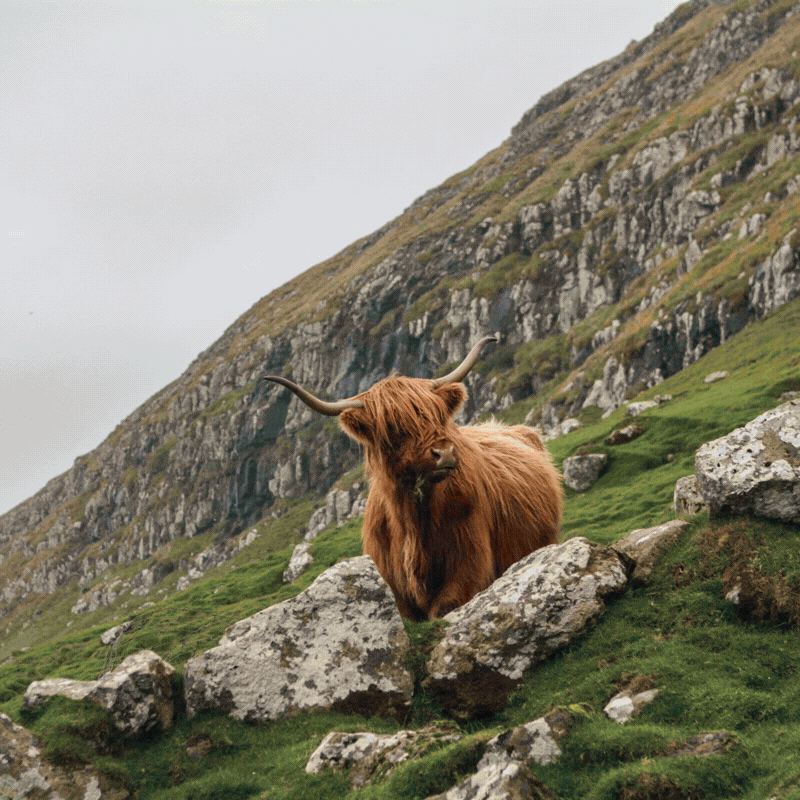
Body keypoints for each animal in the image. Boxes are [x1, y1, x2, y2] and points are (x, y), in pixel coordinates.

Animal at [263, 336, 562, 620]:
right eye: (393, 427)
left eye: (439, 415)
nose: (445, 453)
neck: (412, 525)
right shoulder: (392, 584)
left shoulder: (471, 564)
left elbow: (444, 607)